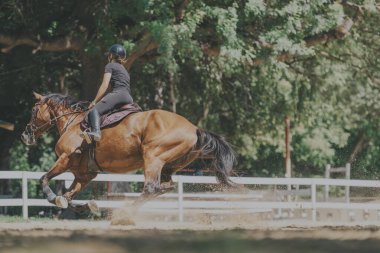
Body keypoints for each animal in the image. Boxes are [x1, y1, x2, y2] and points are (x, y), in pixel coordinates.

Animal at [20, 92, 235, 216]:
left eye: (33, 109)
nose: (25, 135)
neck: (73, 123)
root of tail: (194, 128)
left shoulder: (64, 159)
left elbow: (44, 179)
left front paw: (52, 197)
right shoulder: (85, 174)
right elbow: (69, 196)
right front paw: (87, 205)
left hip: (153, 158)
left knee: (151, 188)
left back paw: (124, 214)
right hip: (168, 166)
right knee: (165, 187)